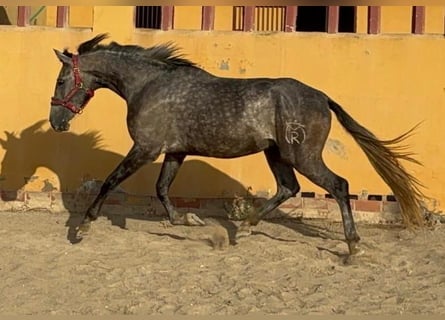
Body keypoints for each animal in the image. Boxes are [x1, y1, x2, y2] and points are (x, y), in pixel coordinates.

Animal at [48, 33, 424, 255]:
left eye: (62, 80)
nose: (56, 122)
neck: (148, 85)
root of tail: (322, 97)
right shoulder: (175, 151)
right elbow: (162, 189)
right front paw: (190, 221)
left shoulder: (145, 148)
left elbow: (111, 181)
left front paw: (82, 227)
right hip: (277, 154)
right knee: (288, 188)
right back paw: (242, 229)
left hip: (302, 155)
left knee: (338, 185)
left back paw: (353, 245)